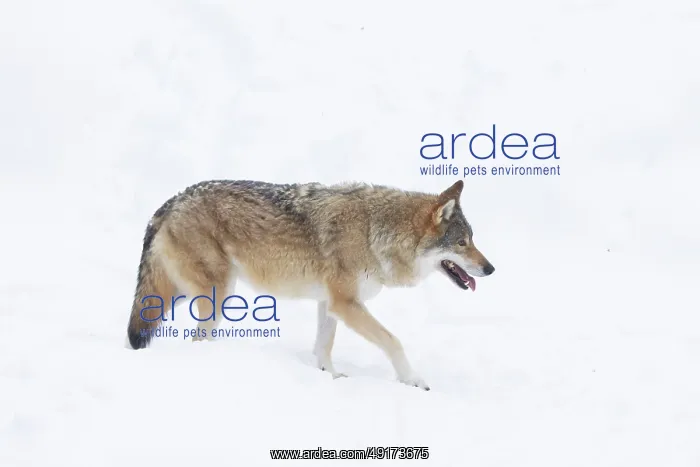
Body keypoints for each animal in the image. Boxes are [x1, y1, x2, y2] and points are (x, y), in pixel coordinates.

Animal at [126, 179, 494, 390]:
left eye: (472, 240)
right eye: (462, 243)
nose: (490, 268)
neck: (376, 232)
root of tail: (171, 201)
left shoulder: (330, 303)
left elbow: (323, 348)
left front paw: (329, 378)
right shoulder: (346, 303)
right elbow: (394, 341)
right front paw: (412, 380)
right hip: (219, 294)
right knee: (198, 338)